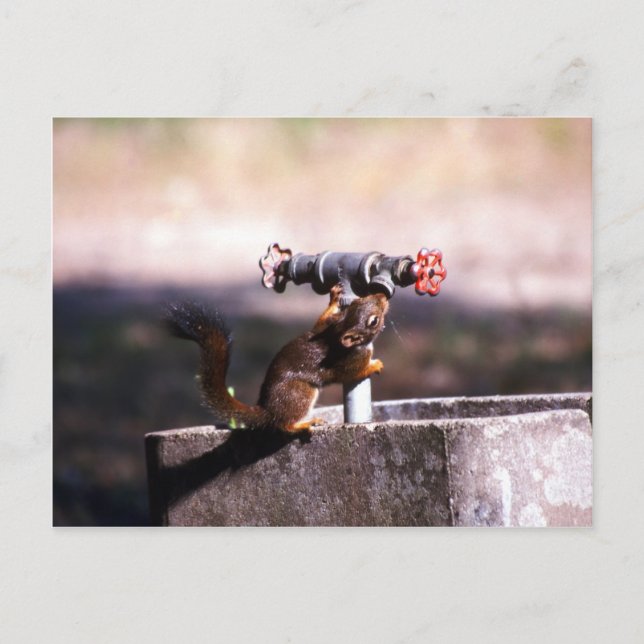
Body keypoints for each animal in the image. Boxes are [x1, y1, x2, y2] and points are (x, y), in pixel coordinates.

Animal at [166, 284, 389, 434]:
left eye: (357, 301)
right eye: (373, 321)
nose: (384, 296)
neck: (338, 333)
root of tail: (267, 410)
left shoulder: (325, 327)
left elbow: (321, 320)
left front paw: (334, 298)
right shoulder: (348, 362)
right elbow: (352, 373)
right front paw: (374, 365)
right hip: (301, 392)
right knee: (284, 425)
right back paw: (305, 423)